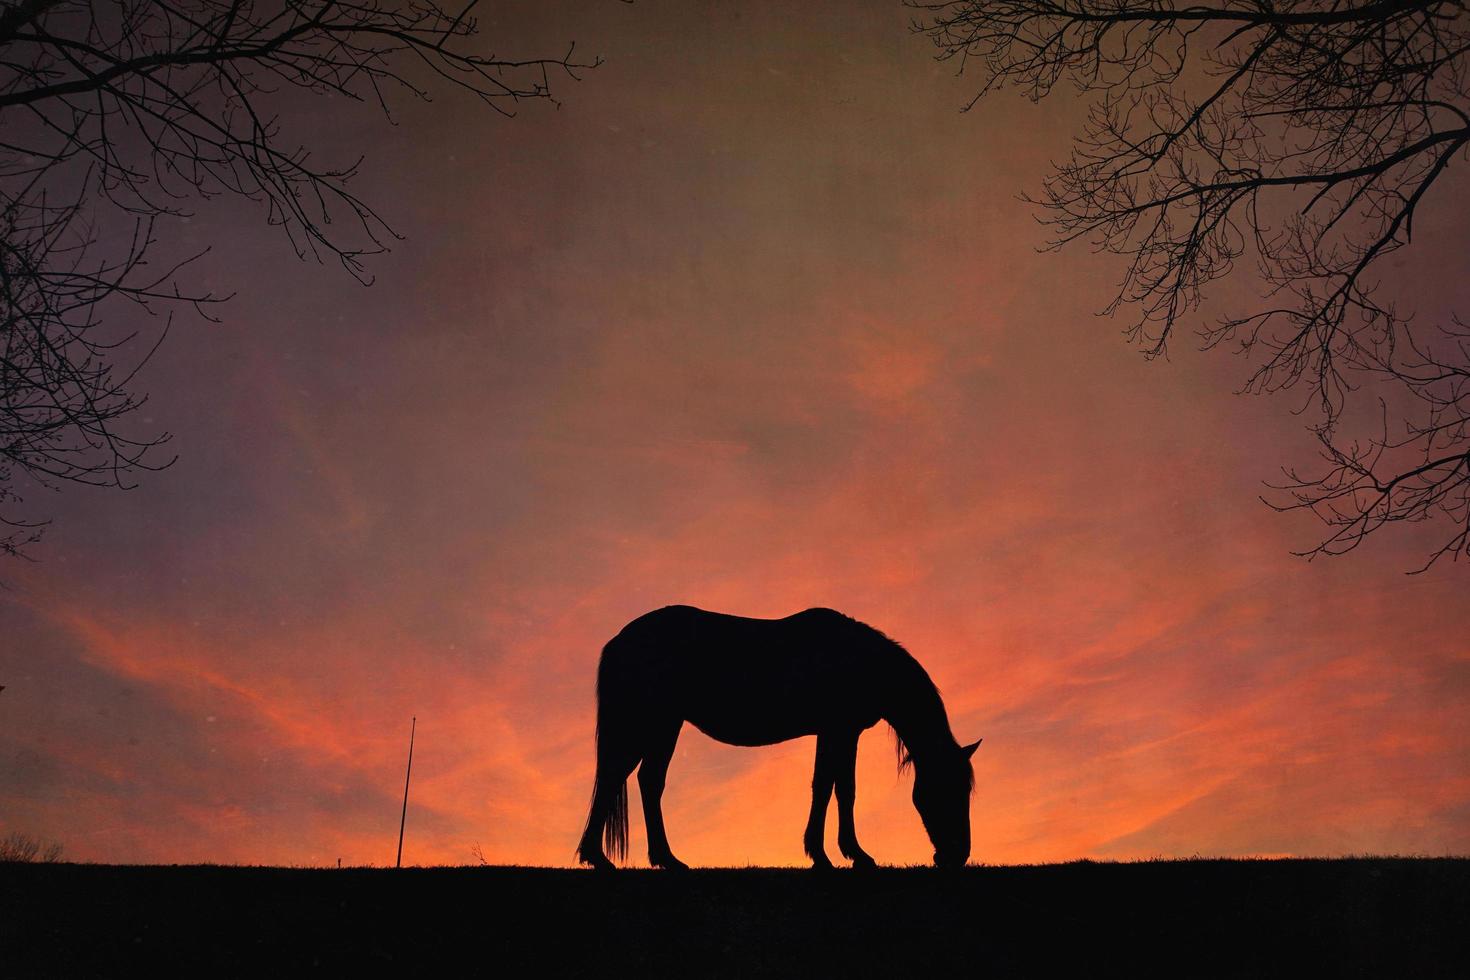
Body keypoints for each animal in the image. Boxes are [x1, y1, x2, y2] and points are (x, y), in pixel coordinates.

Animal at [579, 605, 981, 875]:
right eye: (947, 789)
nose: (957, 856)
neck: (862, 662)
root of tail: (619, 640)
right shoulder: (839, 729)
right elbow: (834, 787)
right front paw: (839, 855)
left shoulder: (838, 731)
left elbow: (834, 787)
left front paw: (837, 854)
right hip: (655, 722)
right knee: (625, 778)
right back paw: (611, 858)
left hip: (662, 725)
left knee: (640, 779)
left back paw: (654, 859)